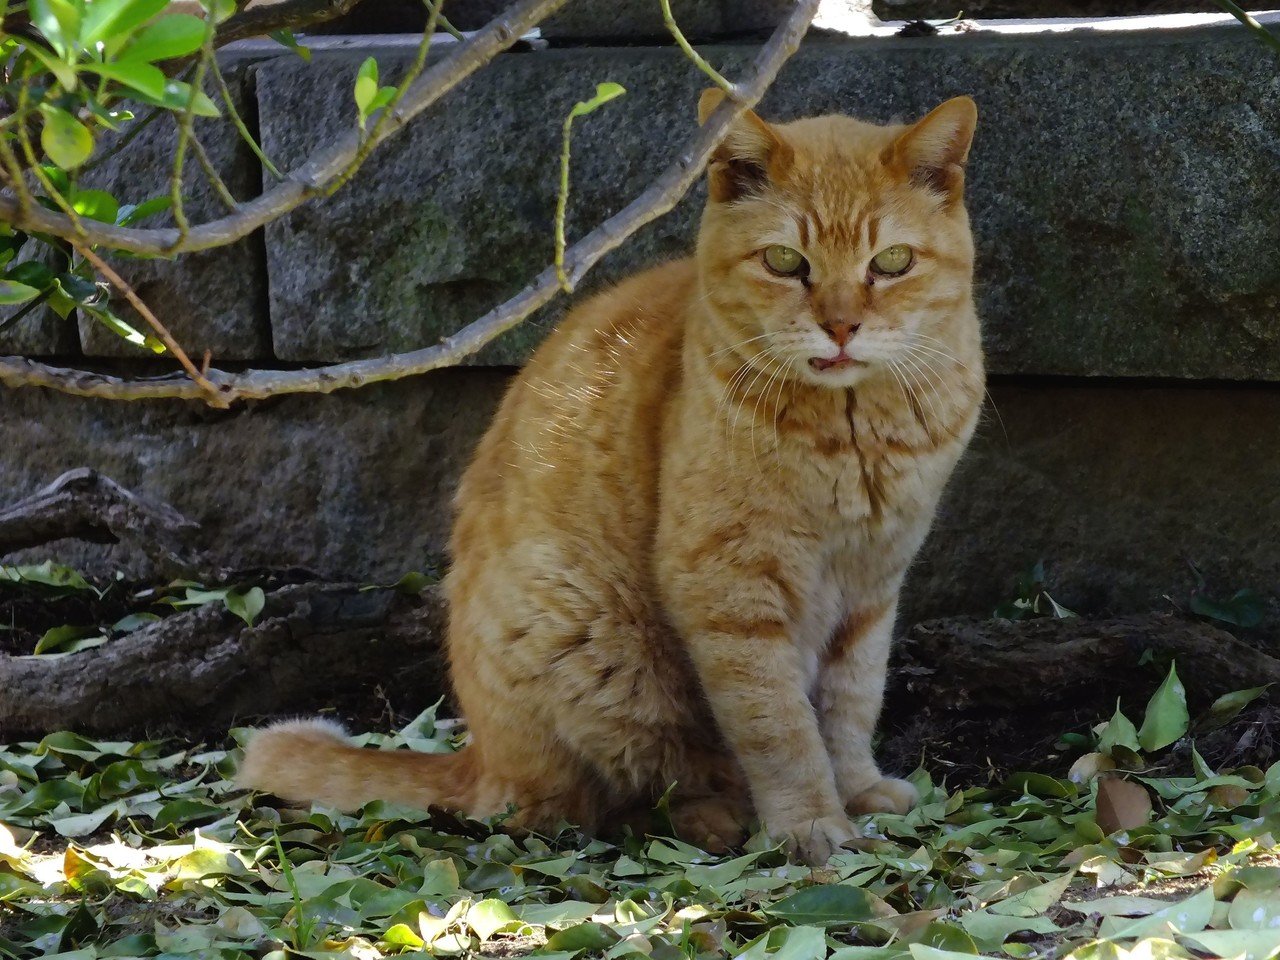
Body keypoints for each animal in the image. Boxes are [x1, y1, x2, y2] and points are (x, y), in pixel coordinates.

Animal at [238, 94, 977, 870]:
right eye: (785, 261)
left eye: (891, 262)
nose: (841, 326)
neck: (854, 434)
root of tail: (480, 756)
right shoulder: (728, 588)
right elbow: (779, 727)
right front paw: (810, 823)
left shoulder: (871, 586)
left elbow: (851, 701)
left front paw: (857, 788)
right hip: (593, 644)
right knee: (601, 804)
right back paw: (715, 819)